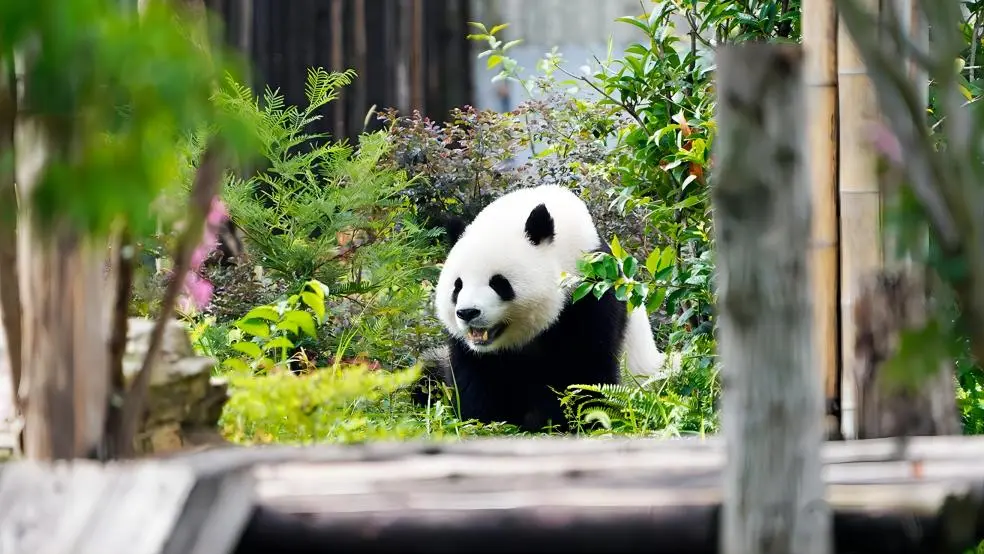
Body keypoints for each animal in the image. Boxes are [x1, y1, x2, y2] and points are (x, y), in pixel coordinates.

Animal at [412, 184, 667, 433]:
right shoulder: (471, 350)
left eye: (499, 283)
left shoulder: (592, 294)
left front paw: (554, 421)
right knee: (427, 373)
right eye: (458, 285)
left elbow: (583, 369)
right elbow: (474, 375)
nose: (467, 313)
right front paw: (484, 419)